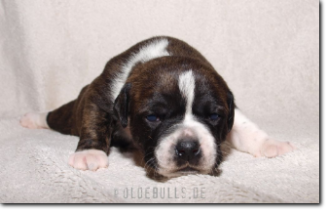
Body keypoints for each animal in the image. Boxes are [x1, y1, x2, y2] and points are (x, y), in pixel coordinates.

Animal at [20, 36, 294, 177]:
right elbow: (95, 121)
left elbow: (246, 127)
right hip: (73, 112)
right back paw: (32, 118)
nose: (188, 148)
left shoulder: (230, 107)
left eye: (214, 116)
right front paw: (90, 153)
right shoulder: (99, 94)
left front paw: (271, 144)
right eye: (153, 118)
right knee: (56, 117)